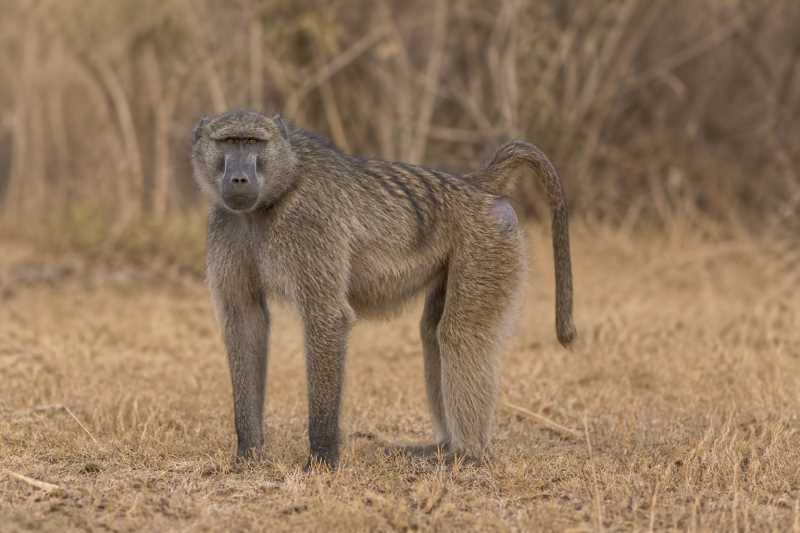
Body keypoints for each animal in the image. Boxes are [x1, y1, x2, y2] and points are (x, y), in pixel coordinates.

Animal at [191, 109, 575, 469]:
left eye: (253, 143)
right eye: (229, 142)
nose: (239, 178)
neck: (275, 193)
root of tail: (472, 184)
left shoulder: (310, 226)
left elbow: (327, 318)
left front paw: (322, 459)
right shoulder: (226, 224)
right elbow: (245, 321)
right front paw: (248, 453)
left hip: (488, 240)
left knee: (460, 334)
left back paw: (466, 454)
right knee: (432, 333)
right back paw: (443, 447)